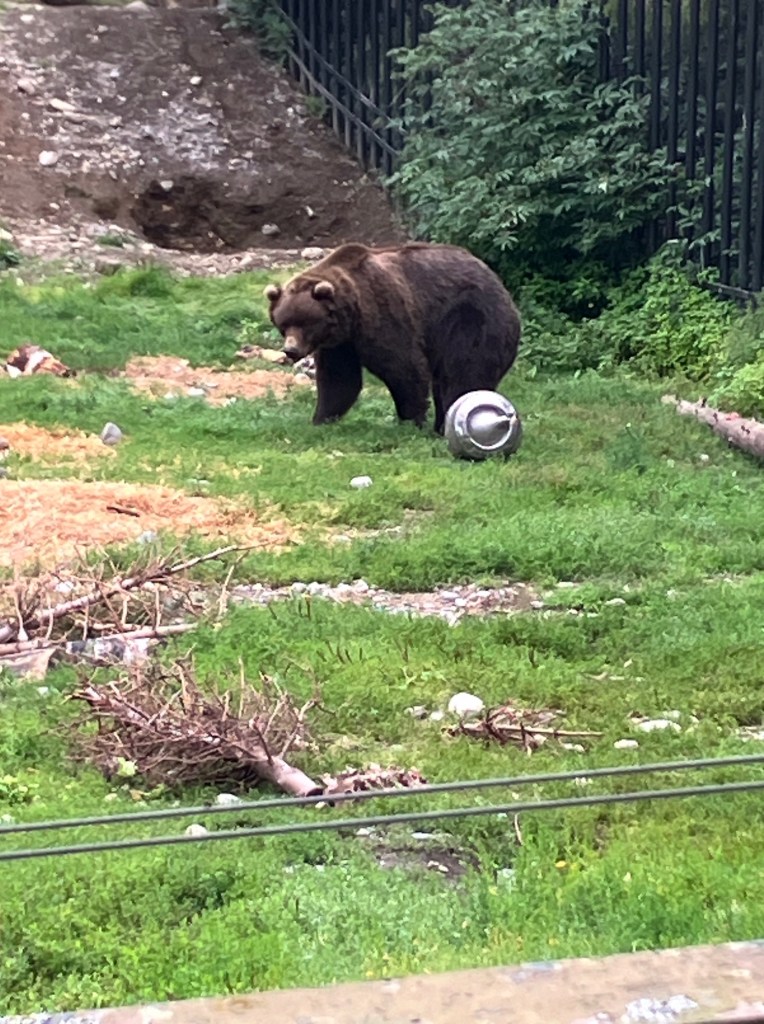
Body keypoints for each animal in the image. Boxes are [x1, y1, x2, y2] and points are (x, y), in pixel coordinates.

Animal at [263, 242, 521, 433]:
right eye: (283, 324)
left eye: (305, 323)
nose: (290, 350)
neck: (351, 316)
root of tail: (497, 281)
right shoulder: (341, 343)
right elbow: (339, 379)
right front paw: (321, 418)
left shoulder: (383, 312)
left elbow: (404, 367)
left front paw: (411, 419)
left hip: (471, 320)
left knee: (463, 373)